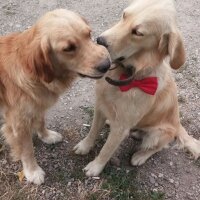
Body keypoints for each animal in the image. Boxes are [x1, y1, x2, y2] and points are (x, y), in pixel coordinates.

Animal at [0, 9, 111, 184]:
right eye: (69, 48)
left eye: (88, 34)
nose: (106, 65)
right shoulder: (19, 122)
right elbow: (27, 150)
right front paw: (32, 171)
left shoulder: (37, 105)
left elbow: (41, 121)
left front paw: (46, 136)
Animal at [74, 0, 200, 176]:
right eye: (124, 15)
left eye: (138, 33)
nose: (99, 40)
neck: (126, 75)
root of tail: (177, 124)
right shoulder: (99, 107)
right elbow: (92, 131)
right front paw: (84, 146)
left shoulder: (121, 128)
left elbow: (107, 149)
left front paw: (95, 167)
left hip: (158, 134)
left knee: (159, 147)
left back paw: (140, 156)